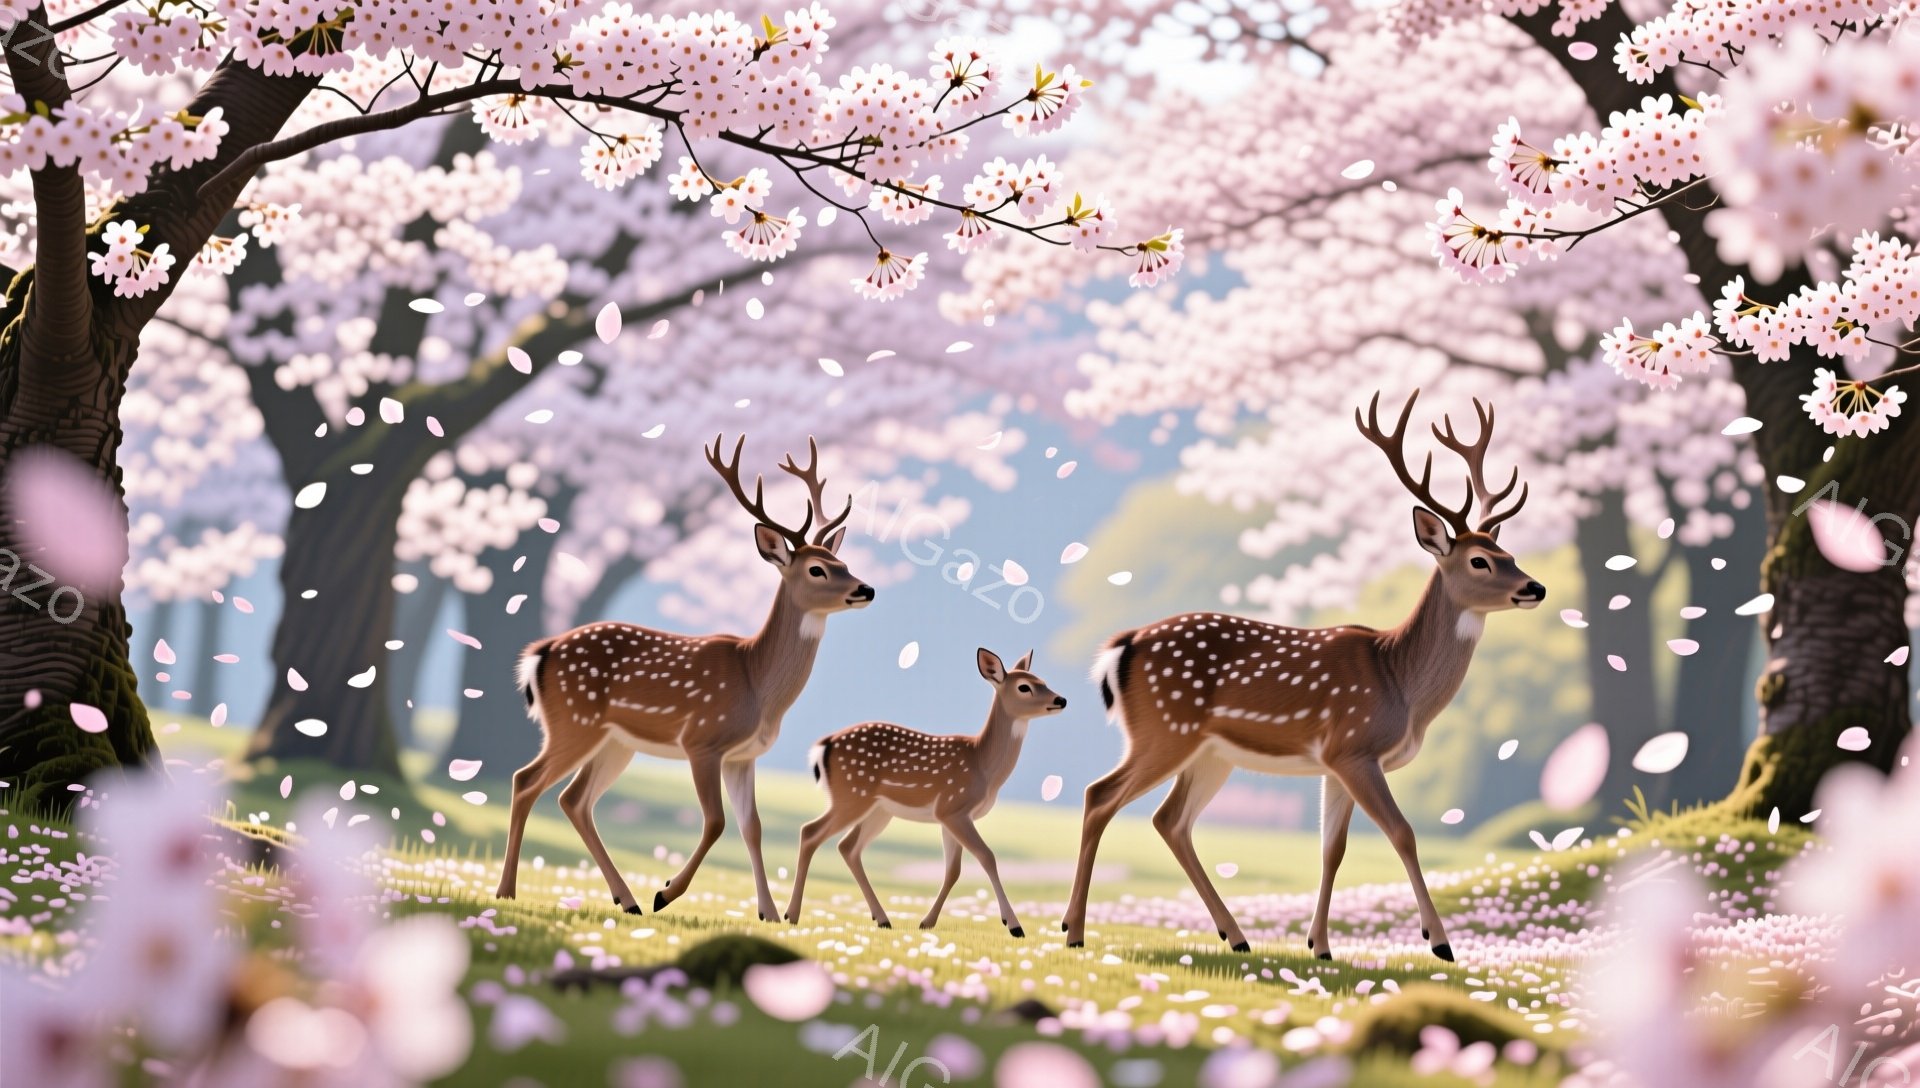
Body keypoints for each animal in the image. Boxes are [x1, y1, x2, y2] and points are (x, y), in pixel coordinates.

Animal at [495, 435, 874, 923]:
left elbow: (752, 827)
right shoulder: (702, 740)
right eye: (817, 569)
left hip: (614, 741)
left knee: (574, 800)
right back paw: (508, 891)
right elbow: (716, 822)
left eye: (841, 561)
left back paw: (627, 900)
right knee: (526, 781)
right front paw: (667, 892)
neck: (757, 684)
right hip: (573, 723)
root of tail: (539, 654)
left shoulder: (743, 756)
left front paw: (769, 914)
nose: (866, 589)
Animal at [783, 648, 1067, 935]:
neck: (983, 766)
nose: (1061, 699)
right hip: (851, 795)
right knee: (810, 832)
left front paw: (927, 921)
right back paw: (791, 914)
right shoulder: (953, 807)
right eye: (1024, 687)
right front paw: (1014, 925)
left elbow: (953, 870)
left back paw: (882, 918)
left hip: (878, 809)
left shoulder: (950, 817)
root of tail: (823, 745)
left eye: (1043, 680)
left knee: (847, 847)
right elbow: (987, 857)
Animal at [1062, 390, 1544, 962]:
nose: (1535, 588)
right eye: (1479, 561)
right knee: (1100, 797)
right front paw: (1440, 943)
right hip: (1163, 730)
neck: (1400, 684)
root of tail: (1123, 646)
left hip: (1209, 752)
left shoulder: (1334, 762)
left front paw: (1320, 946)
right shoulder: (1354, 747)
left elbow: (1331, 849)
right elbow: (1403, 833)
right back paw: (1074, 931)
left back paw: (1235, 935)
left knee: (1169, 820)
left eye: (1509, 553)